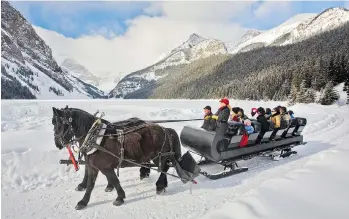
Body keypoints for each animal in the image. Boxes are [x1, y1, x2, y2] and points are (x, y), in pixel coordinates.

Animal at [52, 107, 182, 210]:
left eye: (59, 124)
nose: (57, 144)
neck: (95, 137)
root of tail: (165, 129)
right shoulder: (93, 166)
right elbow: (90, 184)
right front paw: (83, 201)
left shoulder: (105, 167)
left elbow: (114, 180)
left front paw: (119, 197)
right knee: (162, 167)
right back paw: (155, 180)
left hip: (158, 156)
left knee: (164, 168)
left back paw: (159, 185)